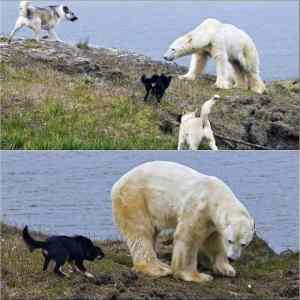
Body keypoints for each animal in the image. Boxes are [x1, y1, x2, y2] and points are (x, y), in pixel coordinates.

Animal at [111, 161, 254, 282]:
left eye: (244, 244)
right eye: (230, 241)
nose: (233, 258)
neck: (216, 195)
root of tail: (118, 183)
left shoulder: (212, 220)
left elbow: (213, 241)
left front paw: (226, 269)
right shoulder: (199, 207)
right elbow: (188, 237)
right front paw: (197, 276)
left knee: (151, 232)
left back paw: (161, 264)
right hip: (135, 198)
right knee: (141, 232)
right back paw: (157, 269)